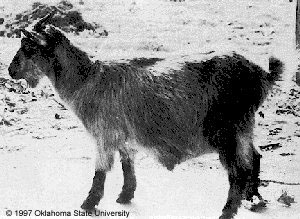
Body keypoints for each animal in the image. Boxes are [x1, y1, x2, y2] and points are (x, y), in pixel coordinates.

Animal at [7, 13, 284, 219]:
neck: (88, 78)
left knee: (238, 172)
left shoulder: (104, 133)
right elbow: (127, 164)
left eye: (29, 48)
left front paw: (88, 203)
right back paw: (253, 197)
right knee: (255, 157)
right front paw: (125, 196)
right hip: (244, 127)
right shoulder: (123, 135)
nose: (10, 71)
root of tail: (261, 75)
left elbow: (100, 170)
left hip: (225, 131)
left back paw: (227, 211)